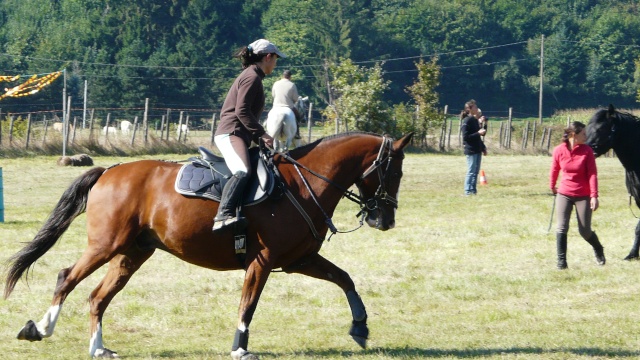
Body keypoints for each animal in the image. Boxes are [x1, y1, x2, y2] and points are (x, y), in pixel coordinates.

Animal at [3, 132, 416, 360]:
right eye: (393, 171)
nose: (385, 220)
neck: (303, 184)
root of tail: (109, 170)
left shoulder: (300, 259)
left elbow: (345, 279)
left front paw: (360, 327)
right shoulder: (263, 261)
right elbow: (248, 304)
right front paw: (239, 347)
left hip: (132, 253)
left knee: (97, 297)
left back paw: (98, 348)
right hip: (107, 245)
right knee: (66, 277)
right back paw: (40, 329)